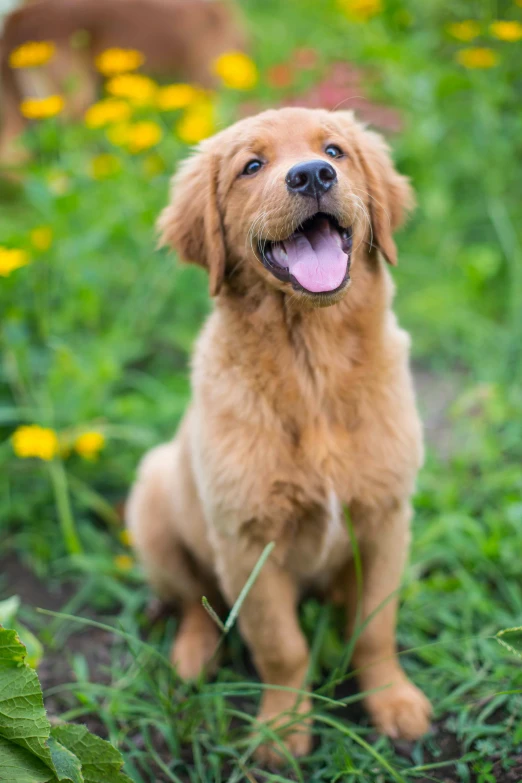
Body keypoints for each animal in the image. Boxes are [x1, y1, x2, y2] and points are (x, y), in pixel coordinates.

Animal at [127, 107, 430, 764]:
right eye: (252, 165)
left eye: (335, 151)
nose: (312, 175)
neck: (310, 363)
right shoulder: (248, 541)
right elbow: (280, 646)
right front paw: (282, 730)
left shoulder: (387, 519)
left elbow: (376, 627)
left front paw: (393, 703)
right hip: (155, 504)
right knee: (195, 603)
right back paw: (192, 660)